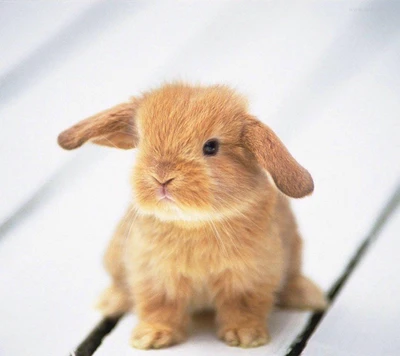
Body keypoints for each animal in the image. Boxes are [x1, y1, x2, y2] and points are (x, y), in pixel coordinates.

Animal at [57, 82, 326, 350]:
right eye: (142, 142)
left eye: (211, 146)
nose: (162, 177)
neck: (193, 222)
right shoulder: (154, 276)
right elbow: (159, 307)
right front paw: (151, 337)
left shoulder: (249, 277)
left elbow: (243, 306)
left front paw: (246, 336)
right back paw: (109, 302)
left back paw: (307, 295)